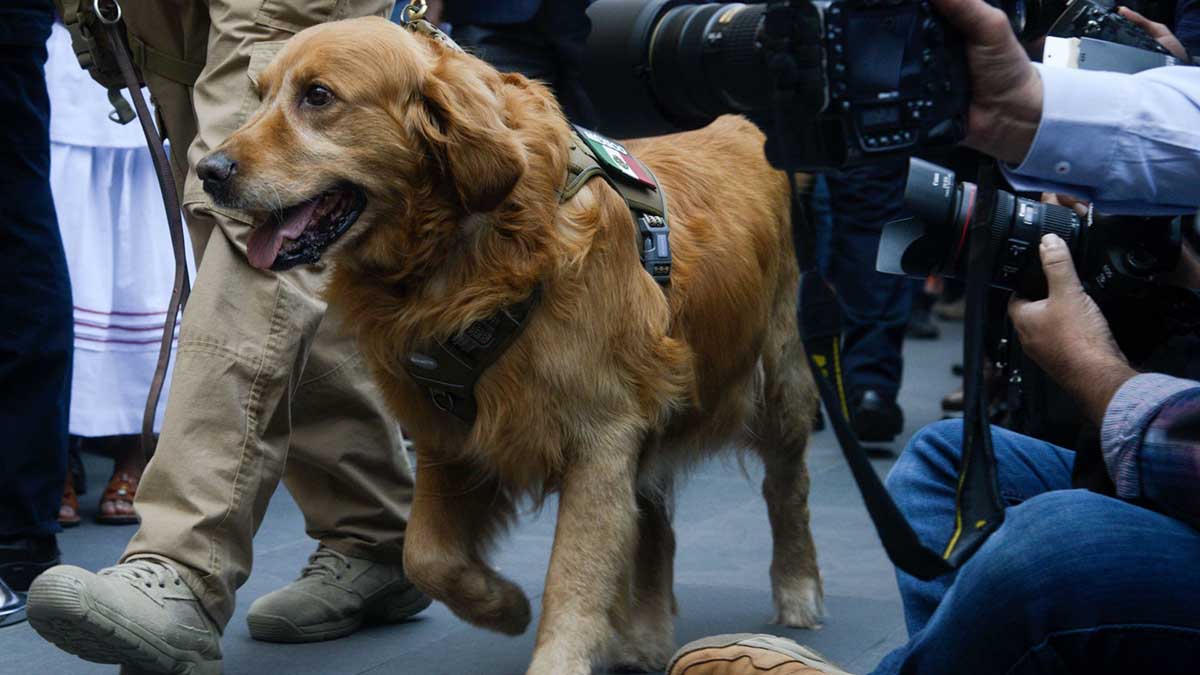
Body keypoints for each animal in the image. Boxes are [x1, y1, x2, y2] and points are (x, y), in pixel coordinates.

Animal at [201, 15, 830, 672]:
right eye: (259, 94)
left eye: (318, 96)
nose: (209, 172)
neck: (464, 255)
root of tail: (741, 127)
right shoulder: (447, 433)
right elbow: (425, 555)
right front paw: (501, 605)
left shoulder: (602, 435)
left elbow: (575, 574)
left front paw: (556, 652)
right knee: (655, 519)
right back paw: (646, 636)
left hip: (778, 385)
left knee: (787, 488)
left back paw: (796, 592)